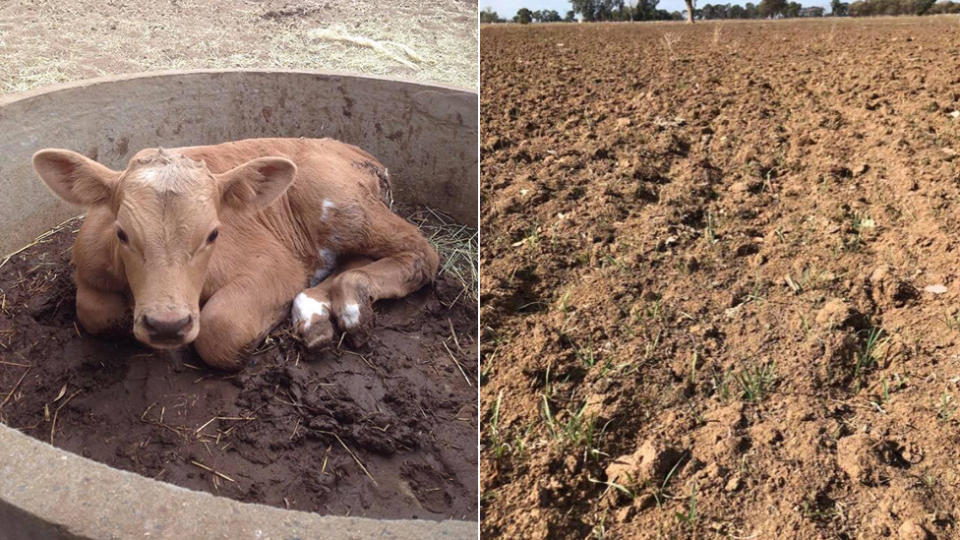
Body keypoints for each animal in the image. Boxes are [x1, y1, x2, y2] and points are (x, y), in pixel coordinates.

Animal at [32, 136, 438, 372]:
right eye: (121, 233)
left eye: (214, 234)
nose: (167, 325)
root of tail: (356, 151)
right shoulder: (88, 266)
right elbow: (95, 313)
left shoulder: (276, 265)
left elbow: (220, 328)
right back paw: (316, 317)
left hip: (343, 204)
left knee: (422, 253)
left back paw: (350, 304)